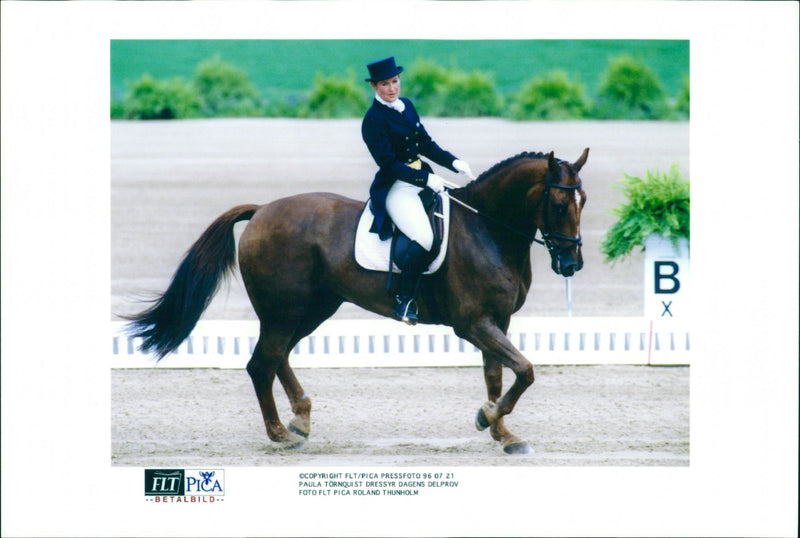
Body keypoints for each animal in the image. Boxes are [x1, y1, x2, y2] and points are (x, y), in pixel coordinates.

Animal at [125, 147, 588, 452]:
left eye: (583, 201)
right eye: (558, 203)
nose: (571, 264)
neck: (486, 230)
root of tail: (261, 211)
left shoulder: (496, 321)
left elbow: (497, 375)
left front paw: (501, 432)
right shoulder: (473, 323)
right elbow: (525, 370)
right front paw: (489, 418)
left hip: (313, 309)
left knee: (277, 357)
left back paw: (301, 418)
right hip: (284, 311)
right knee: (261, 363)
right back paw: (280, 434)